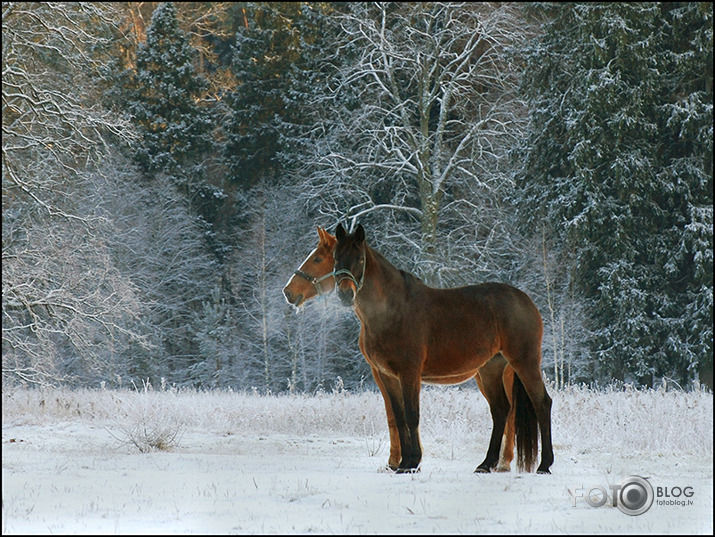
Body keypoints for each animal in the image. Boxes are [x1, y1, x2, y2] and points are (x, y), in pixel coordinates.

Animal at [334, 222, 552, 474]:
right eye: (336, 257)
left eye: (359, 259)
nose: (345, 294)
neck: (393, 310)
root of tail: (526, 301)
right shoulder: (387, 375)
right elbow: (399, 417)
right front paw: (403, 464)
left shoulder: (409, 373)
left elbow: (412, 416)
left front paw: (412, 462)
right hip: (491, 369)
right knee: (500, 411)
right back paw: (486, 464)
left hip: (524, 361)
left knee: (542, 403)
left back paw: (544, 465)